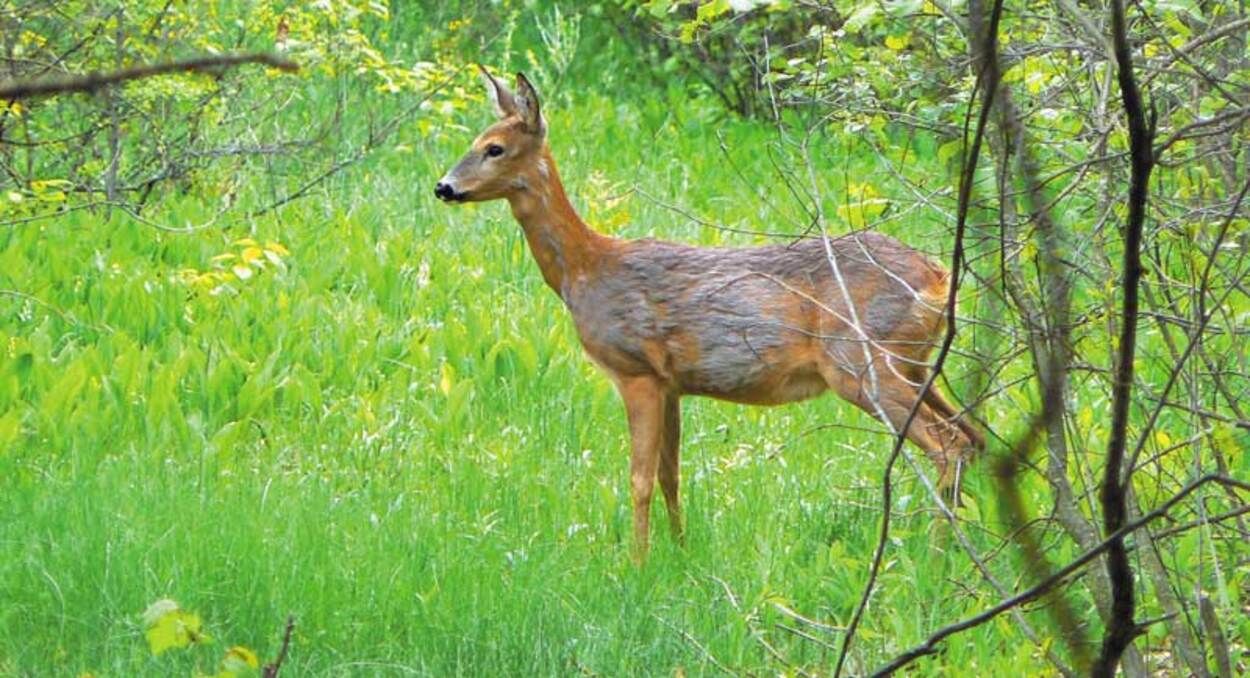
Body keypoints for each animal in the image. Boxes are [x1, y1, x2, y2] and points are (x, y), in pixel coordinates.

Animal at [435, 66, 980, 560]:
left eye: (494, 148)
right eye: (475, 140)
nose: (443, 187)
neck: (586, 270)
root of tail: (939, 278)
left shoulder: (635, 369)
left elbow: (638, 478)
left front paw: (636, 564)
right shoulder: (671, 382)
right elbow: (670, 474)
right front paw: (680, 551)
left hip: (860, 363)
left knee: (948, 443)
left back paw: (935, 556)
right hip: (916, 364)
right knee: (973, 434)